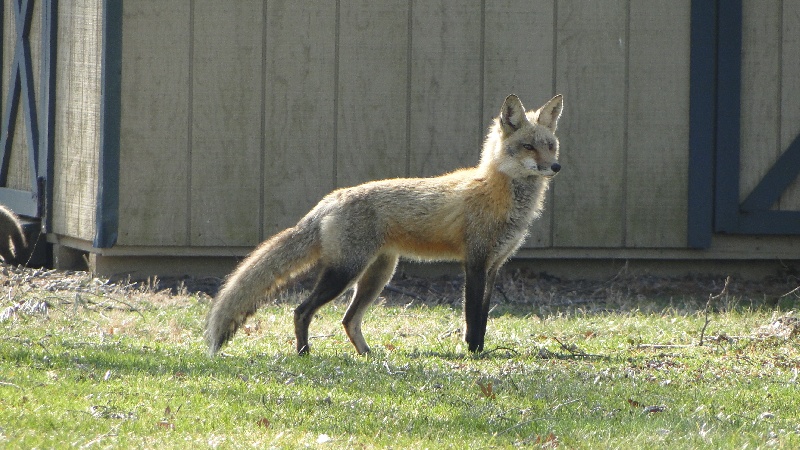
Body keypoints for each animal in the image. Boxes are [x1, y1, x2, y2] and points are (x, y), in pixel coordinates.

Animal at [209, 94, 564, 356]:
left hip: (376, 275)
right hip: (345, 272)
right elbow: (472, 318)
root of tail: (331, 199)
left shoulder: (493, 267)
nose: (555, 167)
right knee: (301, 311)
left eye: (550, 145)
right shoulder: (474, 263)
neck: (498, 193)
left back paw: (366, 355)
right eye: (528, 146)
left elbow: (484, 318)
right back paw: (304, 353)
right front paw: (474, 353)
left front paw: (480, 351)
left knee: (348, 320)